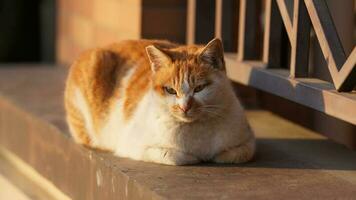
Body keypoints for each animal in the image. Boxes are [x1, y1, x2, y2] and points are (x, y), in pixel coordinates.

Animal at [64, 38, 256, 165]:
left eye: (199, 88)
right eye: (170, 90)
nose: (185, 107)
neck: (198, 131)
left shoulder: (248, 142)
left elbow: (235, 154)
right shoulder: (134, 145)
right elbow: (177, 156)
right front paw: (195, 157)